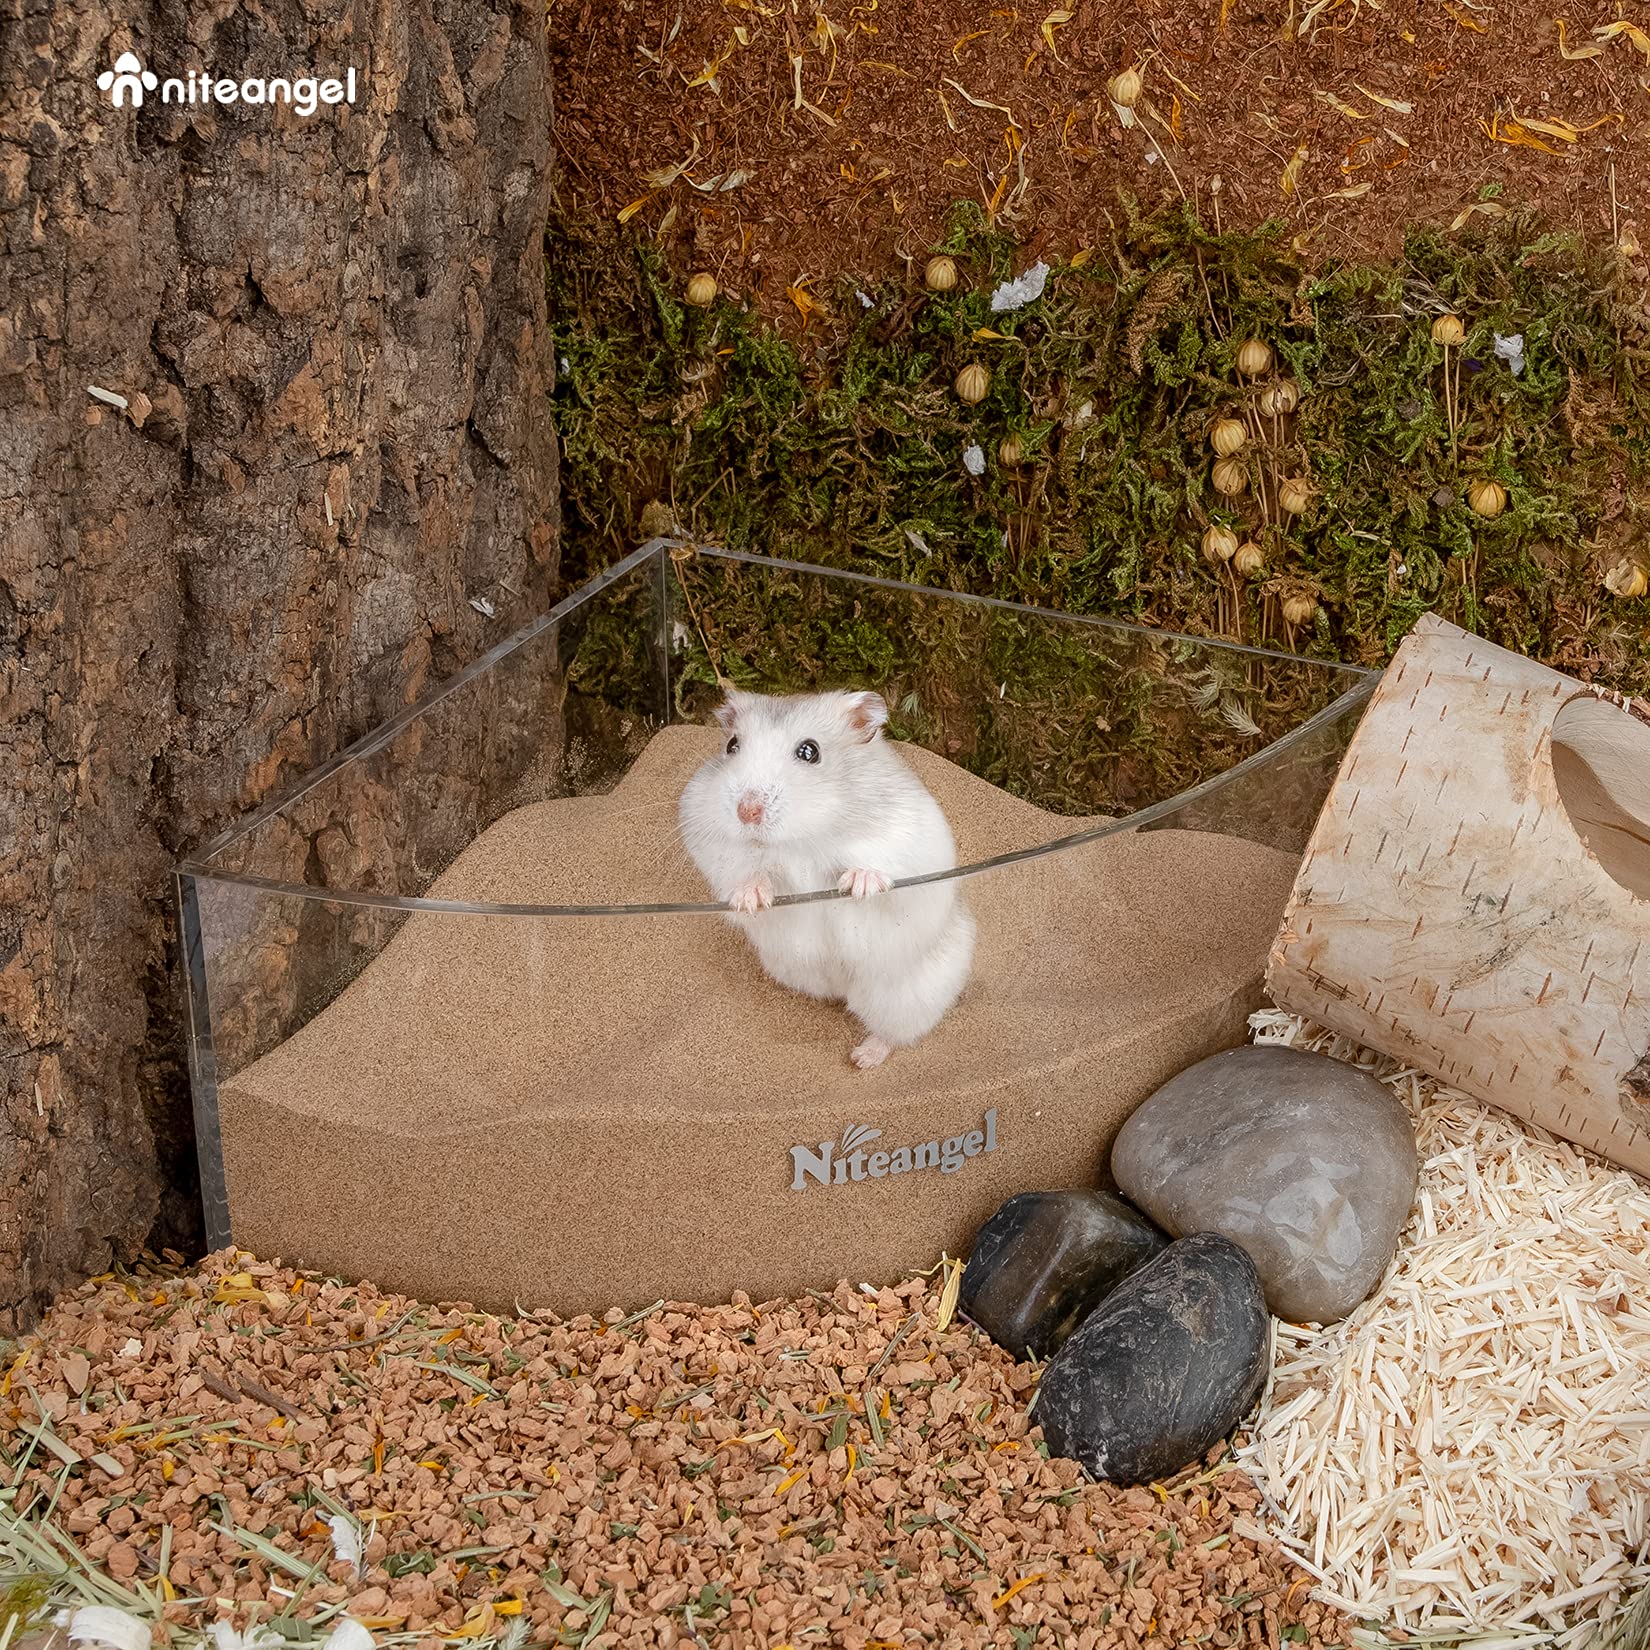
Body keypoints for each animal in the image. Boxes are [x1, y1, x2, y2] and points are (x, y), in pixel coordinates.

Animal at [678, 687, 976, 1068]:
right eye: (732, 745)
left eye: (809, 752)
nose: (747, 812)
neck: (802, 841)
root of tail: (840, 987)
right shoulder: (709, 840)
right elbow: (745, 872)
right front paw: (751, 899)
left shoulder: (909, 839)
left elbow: (884, 866)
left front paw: (858, 883)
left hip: (904, 997)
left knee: (894, 1033)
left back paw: (862, 1059)